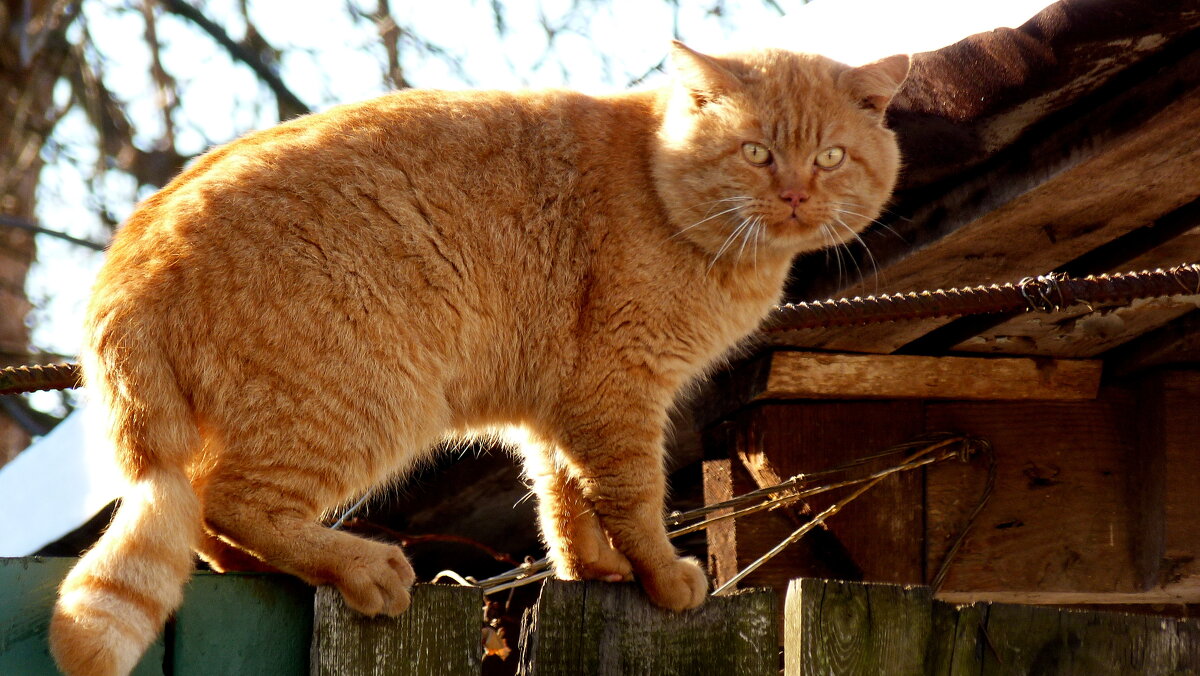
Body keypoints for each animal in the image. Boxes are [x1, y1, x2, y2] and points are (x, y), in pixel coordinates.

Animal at [49, 43, 907, 676]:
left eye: (831, 157)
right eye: (756, 152)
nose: (796, 195)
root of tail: (121, 263)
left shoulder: (561, 409)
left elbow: (565, 501)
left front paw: (592, 571)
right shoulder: (619, 389)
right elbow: (632, 495)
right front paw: (664, 577)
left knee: (207, 523)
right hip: (372, 401)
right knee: (228, 500)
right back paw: (363, 568)